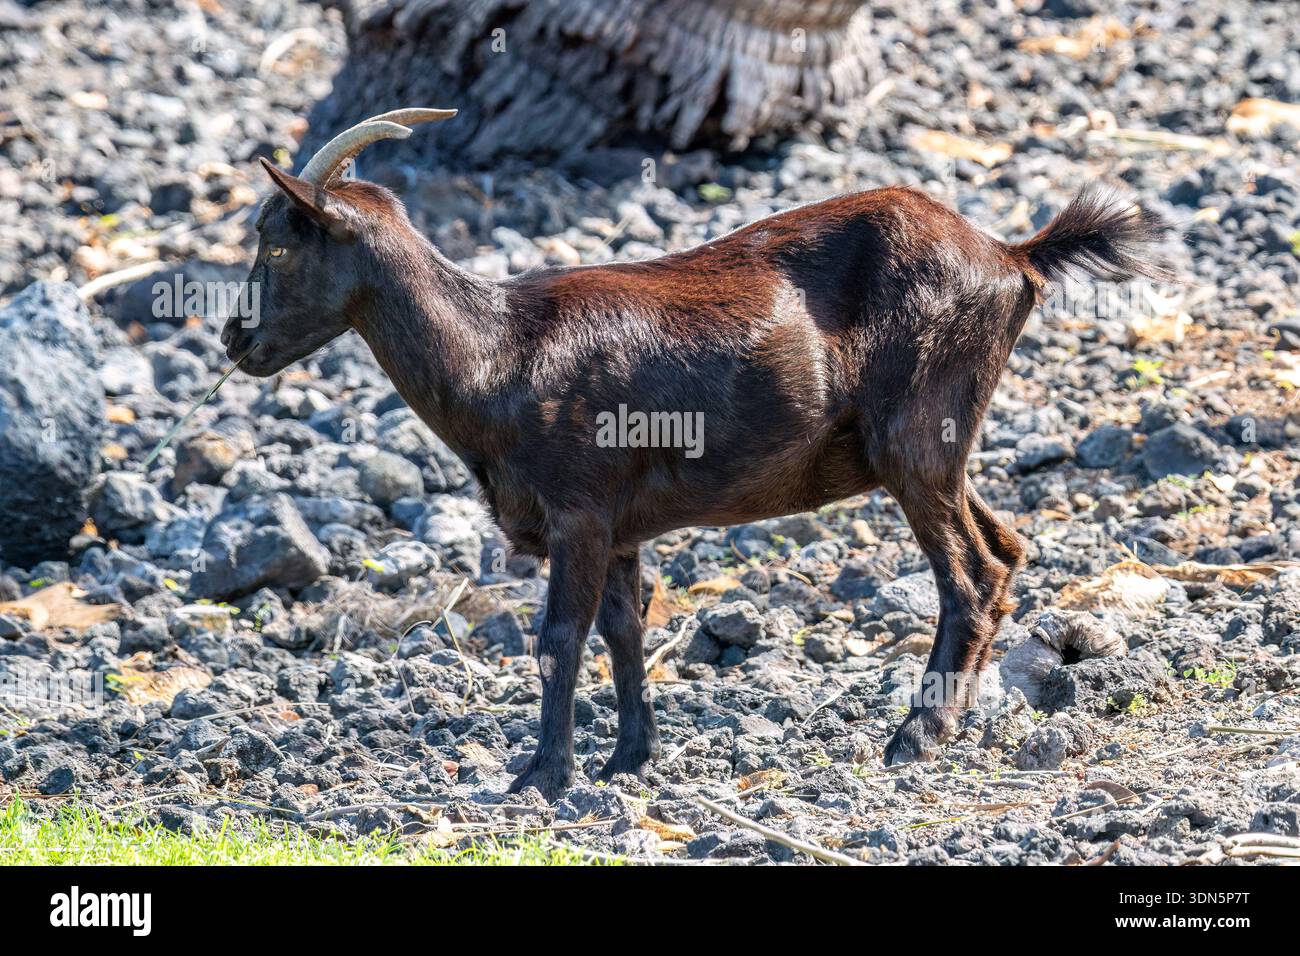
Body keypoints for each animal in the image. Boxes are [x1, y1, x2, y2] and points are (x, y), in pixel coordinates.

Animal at [222, 108, 1171, 799]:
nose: (235, 339)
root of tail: (1011, 257)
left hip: (917, 438)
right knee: (1006, 549)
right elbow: (624, 630)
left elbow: (559, 637)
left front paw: (540, 776)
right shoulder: (621, 528)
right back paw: (950, 721)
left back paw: (916, 735)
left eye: (279, 242)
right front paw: (626, 760)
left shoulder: (578, 511)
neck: (498, 351)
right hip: (938, 452)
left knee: (970, 573)